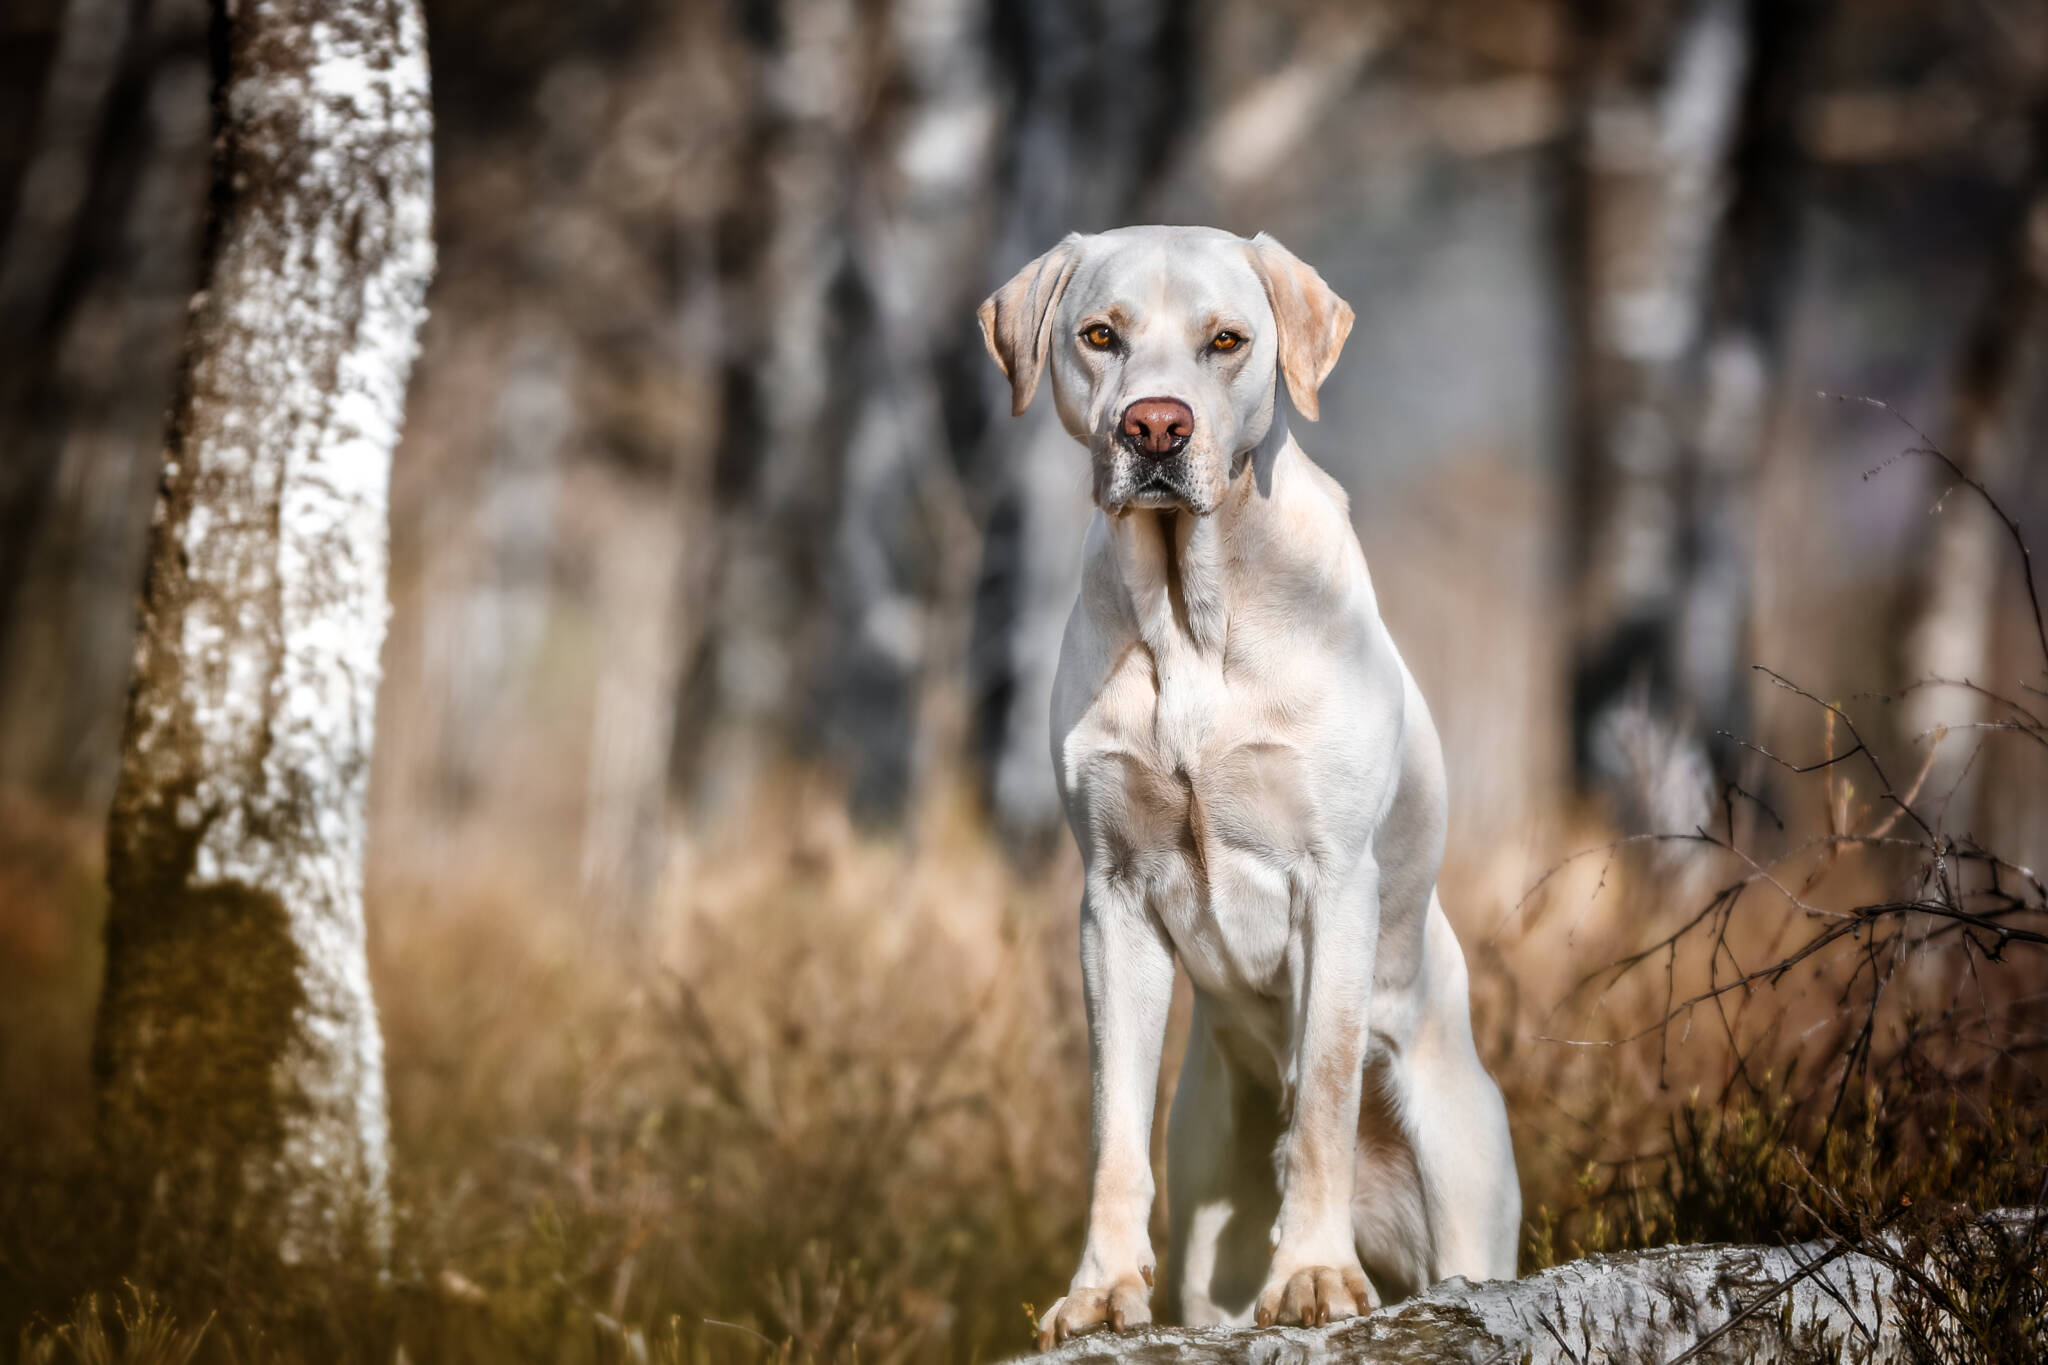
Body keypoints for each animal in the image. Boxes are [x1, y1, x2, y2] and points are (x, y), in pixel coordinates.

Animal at [974, 224, 1523, 1342]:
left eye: (1224, 340)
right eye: (1100, 335)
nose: (1154, 424)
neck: (1190, 610)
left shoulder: (1334, 881)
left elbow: (1320, 1098)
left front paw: (1313, 1274)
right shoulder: (1112, 897)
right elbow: (1111, 1129)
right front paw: (1098, 1290)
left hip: (1462, 1178)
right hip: (1209, 1211)